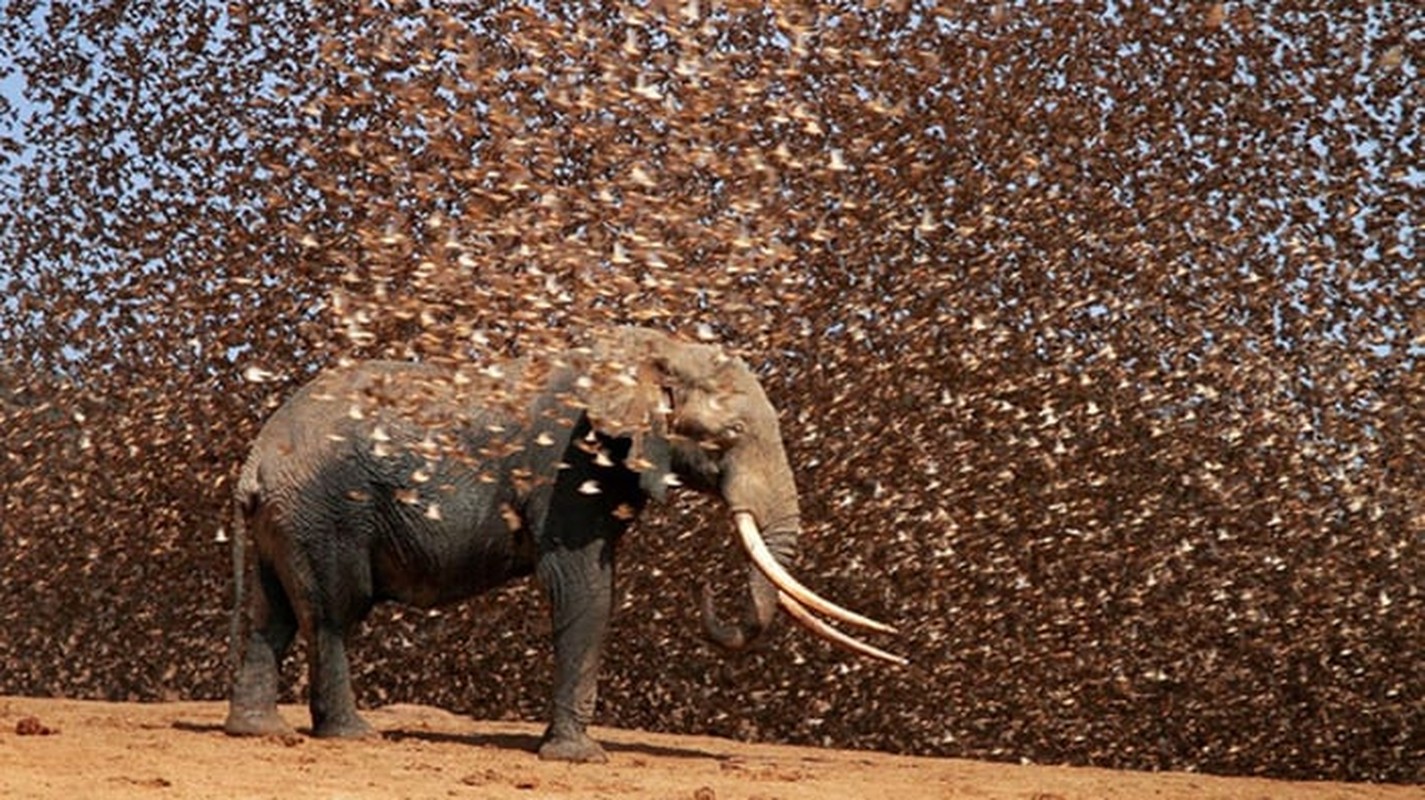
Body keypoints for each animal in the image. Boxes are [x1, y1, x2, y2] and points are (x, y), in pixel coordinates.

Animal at [219, 326, 900, 758]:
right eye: (728, 434)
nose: (710, 591)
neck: (647, 353)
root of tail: (255, 459)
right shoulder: (568, 469)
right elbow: (583, 588)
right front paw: (580, 758)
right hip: (326, 512)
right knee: (333, 613)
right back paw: (355, 736)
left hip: (287, 519)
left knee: (271, 614)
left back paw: (256, 732)